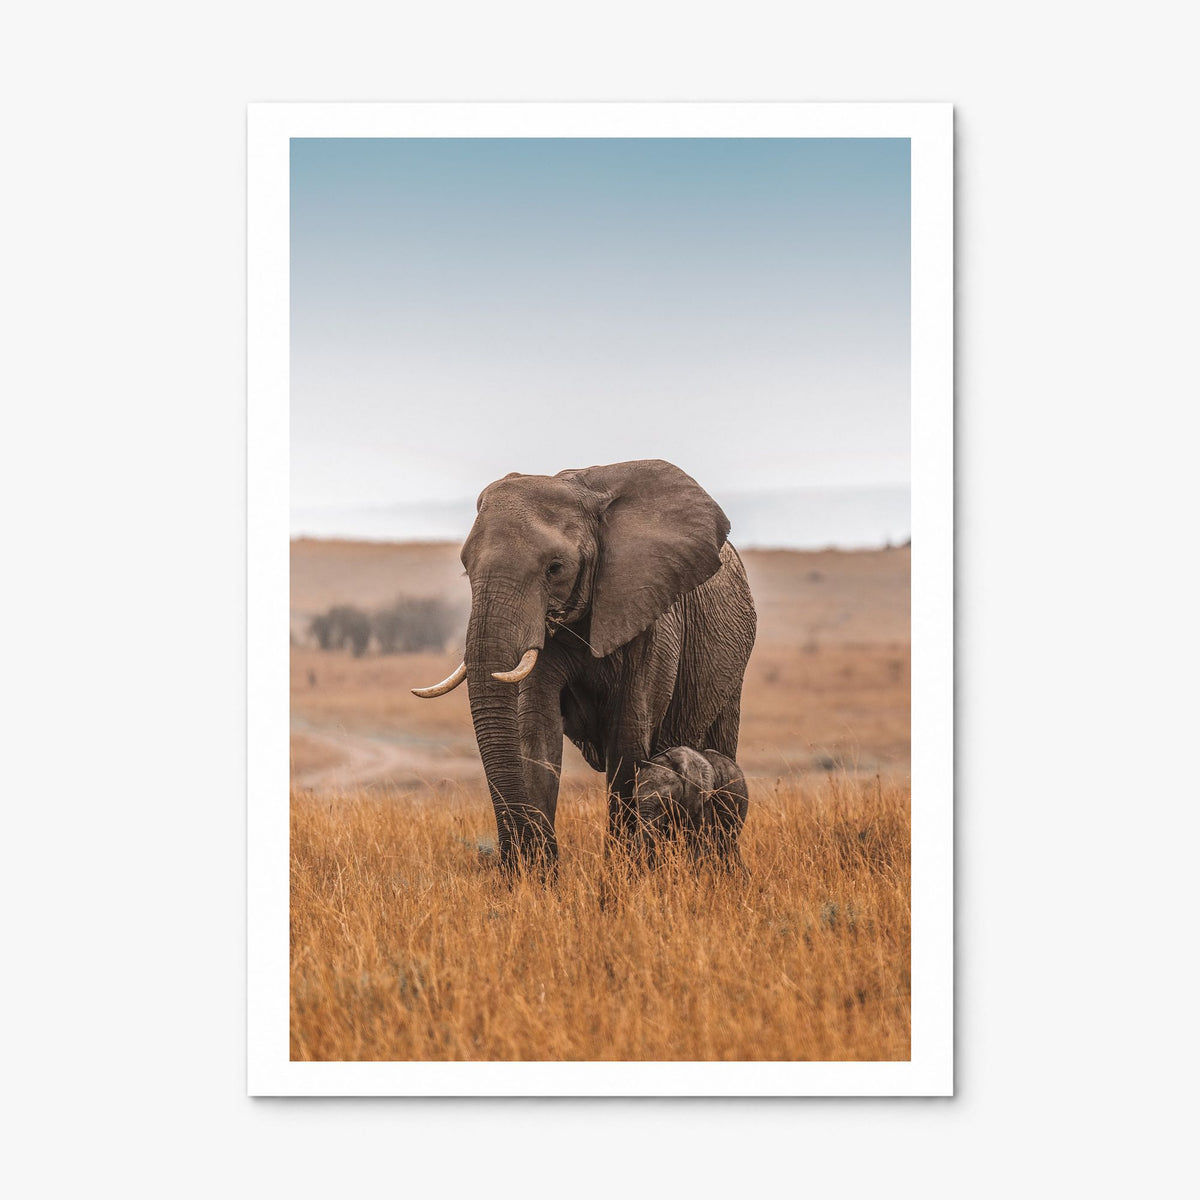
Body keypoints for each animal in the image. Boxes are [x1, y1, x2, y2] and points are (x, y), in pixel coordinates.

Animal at [412, 459, 757, 875]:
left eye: (555, 568)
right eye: (466, 568)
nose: (510, 862)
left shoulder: (651, 614)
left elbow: (628, 736)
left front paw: (626, 875)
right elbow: (536, 732)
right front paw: (537, 879)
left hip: (733, 662)